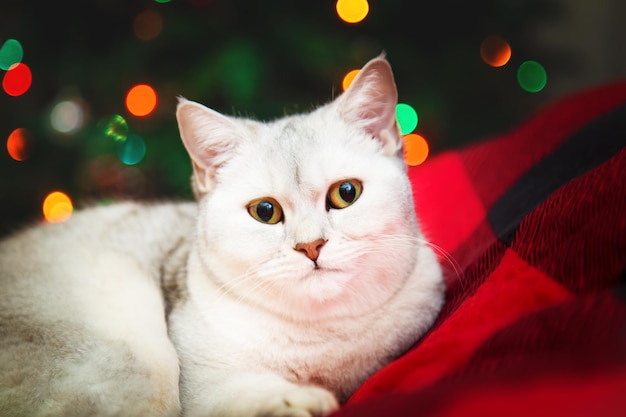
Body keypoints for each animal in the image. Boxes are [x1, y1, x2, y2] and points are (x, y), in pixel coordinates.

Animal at [0, 56, 444, 416]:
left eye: (346, 193)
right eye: (265, 212)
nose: (310, 246)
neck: (322, 341)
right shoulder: (203, 390)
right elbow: (239, 396)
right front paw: (295, 399)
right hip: (140, 357)